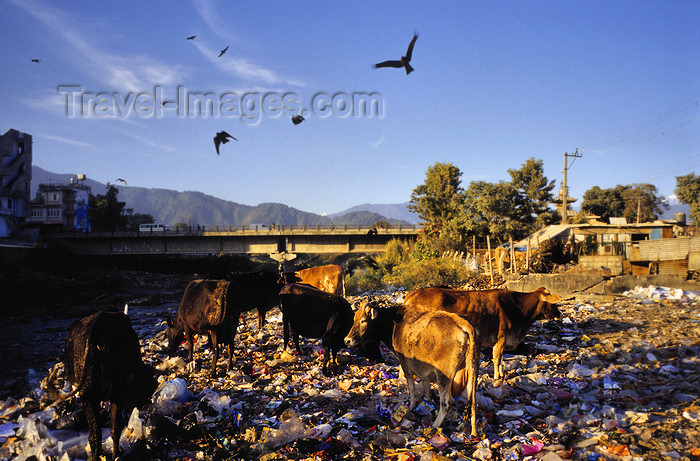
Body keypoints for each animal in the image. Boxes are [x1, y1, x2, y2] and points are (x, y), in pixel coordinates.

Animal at [344, 300, 482, 434]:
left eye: (363, 320)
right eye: (354, 319)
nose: (347, 340)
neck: (394, 324)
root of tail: (462, 322)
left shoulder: (405, 364)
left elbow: (411, 386)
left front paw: (411, 407)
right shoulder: (424, 370)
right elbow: (426, 385)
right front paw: (428, 402)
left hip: (444, 375)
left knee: (446, 402)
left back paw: (434, 425)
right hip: (472, 368)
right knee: (472, 400)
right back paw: (472, 430)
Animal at [402, 286, 560, 380]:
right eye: (553, 303)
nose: (559, 313)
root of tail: (414, 293)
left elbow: (500, 359)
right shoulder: (501, 338)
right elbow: (497, 358)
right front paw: (497, 377)